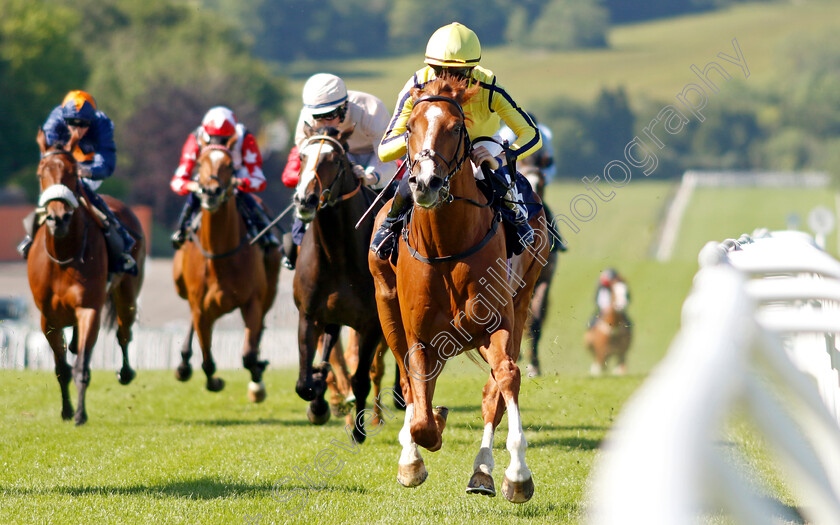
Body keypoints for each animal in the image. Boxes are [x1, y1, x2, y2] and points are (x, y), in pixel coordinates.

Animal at [28, 129, 145, 424]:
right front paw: (66, 410)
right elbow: (62, 368)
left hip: (127, 292)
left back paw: (125, 372)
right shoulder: (48, 317)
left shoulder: (89, 307)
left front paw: (80, 414)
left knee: (123, 332)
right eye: (40, 172)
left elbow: (81, 365)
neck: (63, 257)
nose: (58, 217)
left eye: (72, 172)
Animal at [172, 139, 280, 402]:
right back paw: (183, 364)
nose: (211, 192)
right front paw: (214, 380)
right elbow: (207, 360)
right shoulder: (200, 307)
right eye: (199, 163)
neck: (220, 255)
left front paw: (257, 382)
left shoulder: (252, 301)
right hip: (181, 286)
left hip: (270, 289)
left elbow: (249, 354)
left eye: (230, 165)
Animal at [290, 127, 388, 442]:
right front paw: (318, 403)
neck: (338, 256)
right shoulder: (309, 316)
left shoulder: (371, 324)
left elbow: (360, 379)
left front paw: (358, 431)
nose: (305, 200)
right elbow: (305, 382)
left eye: (333, 159)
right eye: (302, 156)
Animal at [370, 75, 552, 502]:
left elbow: (506, 378)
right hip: (387, 307)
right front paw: (417, 450)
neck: (447, 245)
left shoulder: (496, 323)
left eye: (456, 128)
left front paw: (517, 474)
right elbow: (420, 408)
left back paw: (483, 471)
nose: (425, 182)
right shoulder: (420, 334)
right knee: (410, 383)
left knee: (493, 389)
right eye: (409, 127)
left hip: (521, 301)